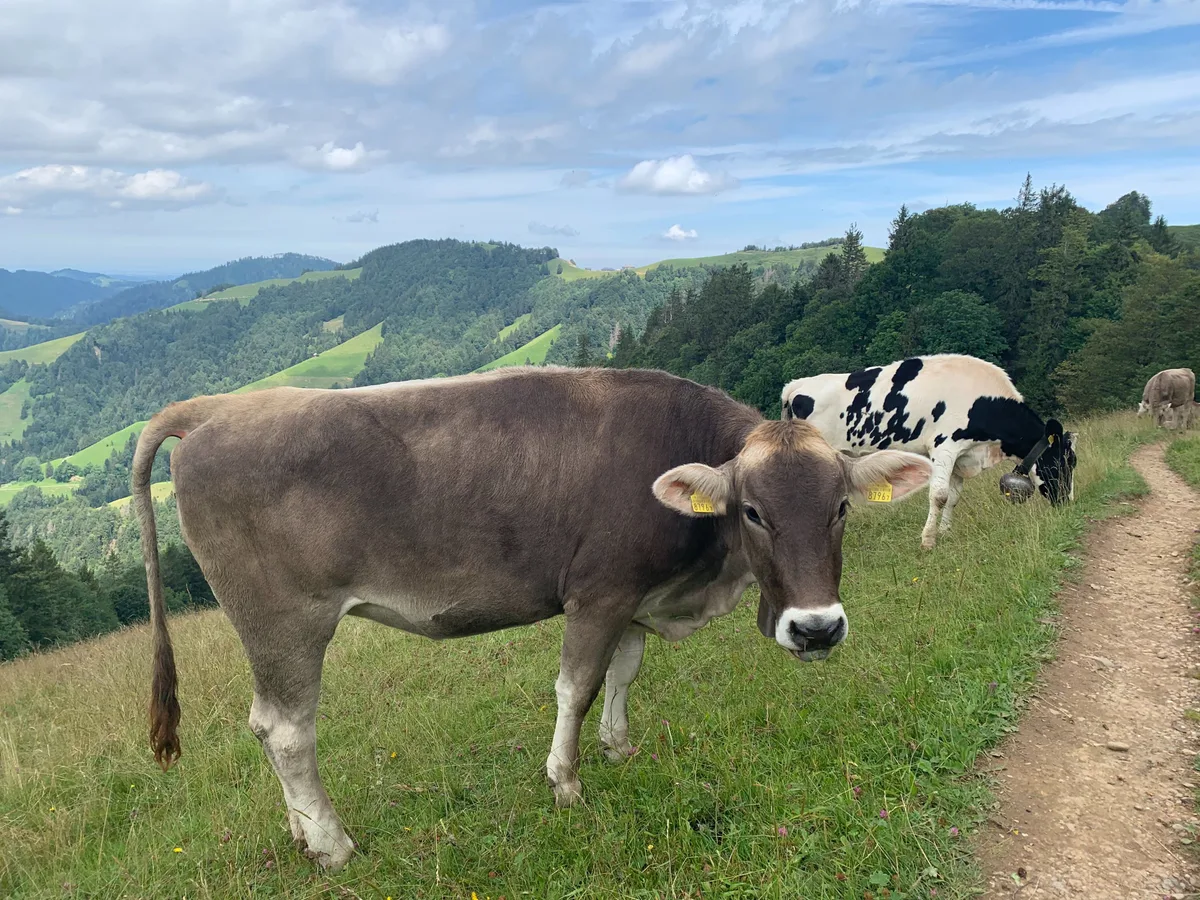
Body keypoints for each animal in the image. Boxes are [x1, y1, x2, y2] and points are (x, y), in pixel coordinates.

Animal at [133, 366, 932, 870]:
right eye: (755, 512)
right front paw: (566, 784)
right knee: (286, 730)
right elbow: (575, 688)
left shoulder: (636, 596)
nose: (817, 628)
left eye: (840, 507)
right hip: (287, 622)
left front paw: (618, 747)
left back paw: (304, 835)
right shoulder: (599, 592)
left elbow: (624, 673)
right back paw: (332, 846)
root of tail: (216, 408)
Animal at [781, 354, 1078, 550]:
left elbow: (954, 497)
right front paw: (928, 541)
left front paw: (945, 533)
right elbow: (939, 495)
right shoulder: (944, 446)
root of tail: (797, 385)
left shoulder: (961, 456)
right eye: (1064, 462)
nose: (1068, 502)